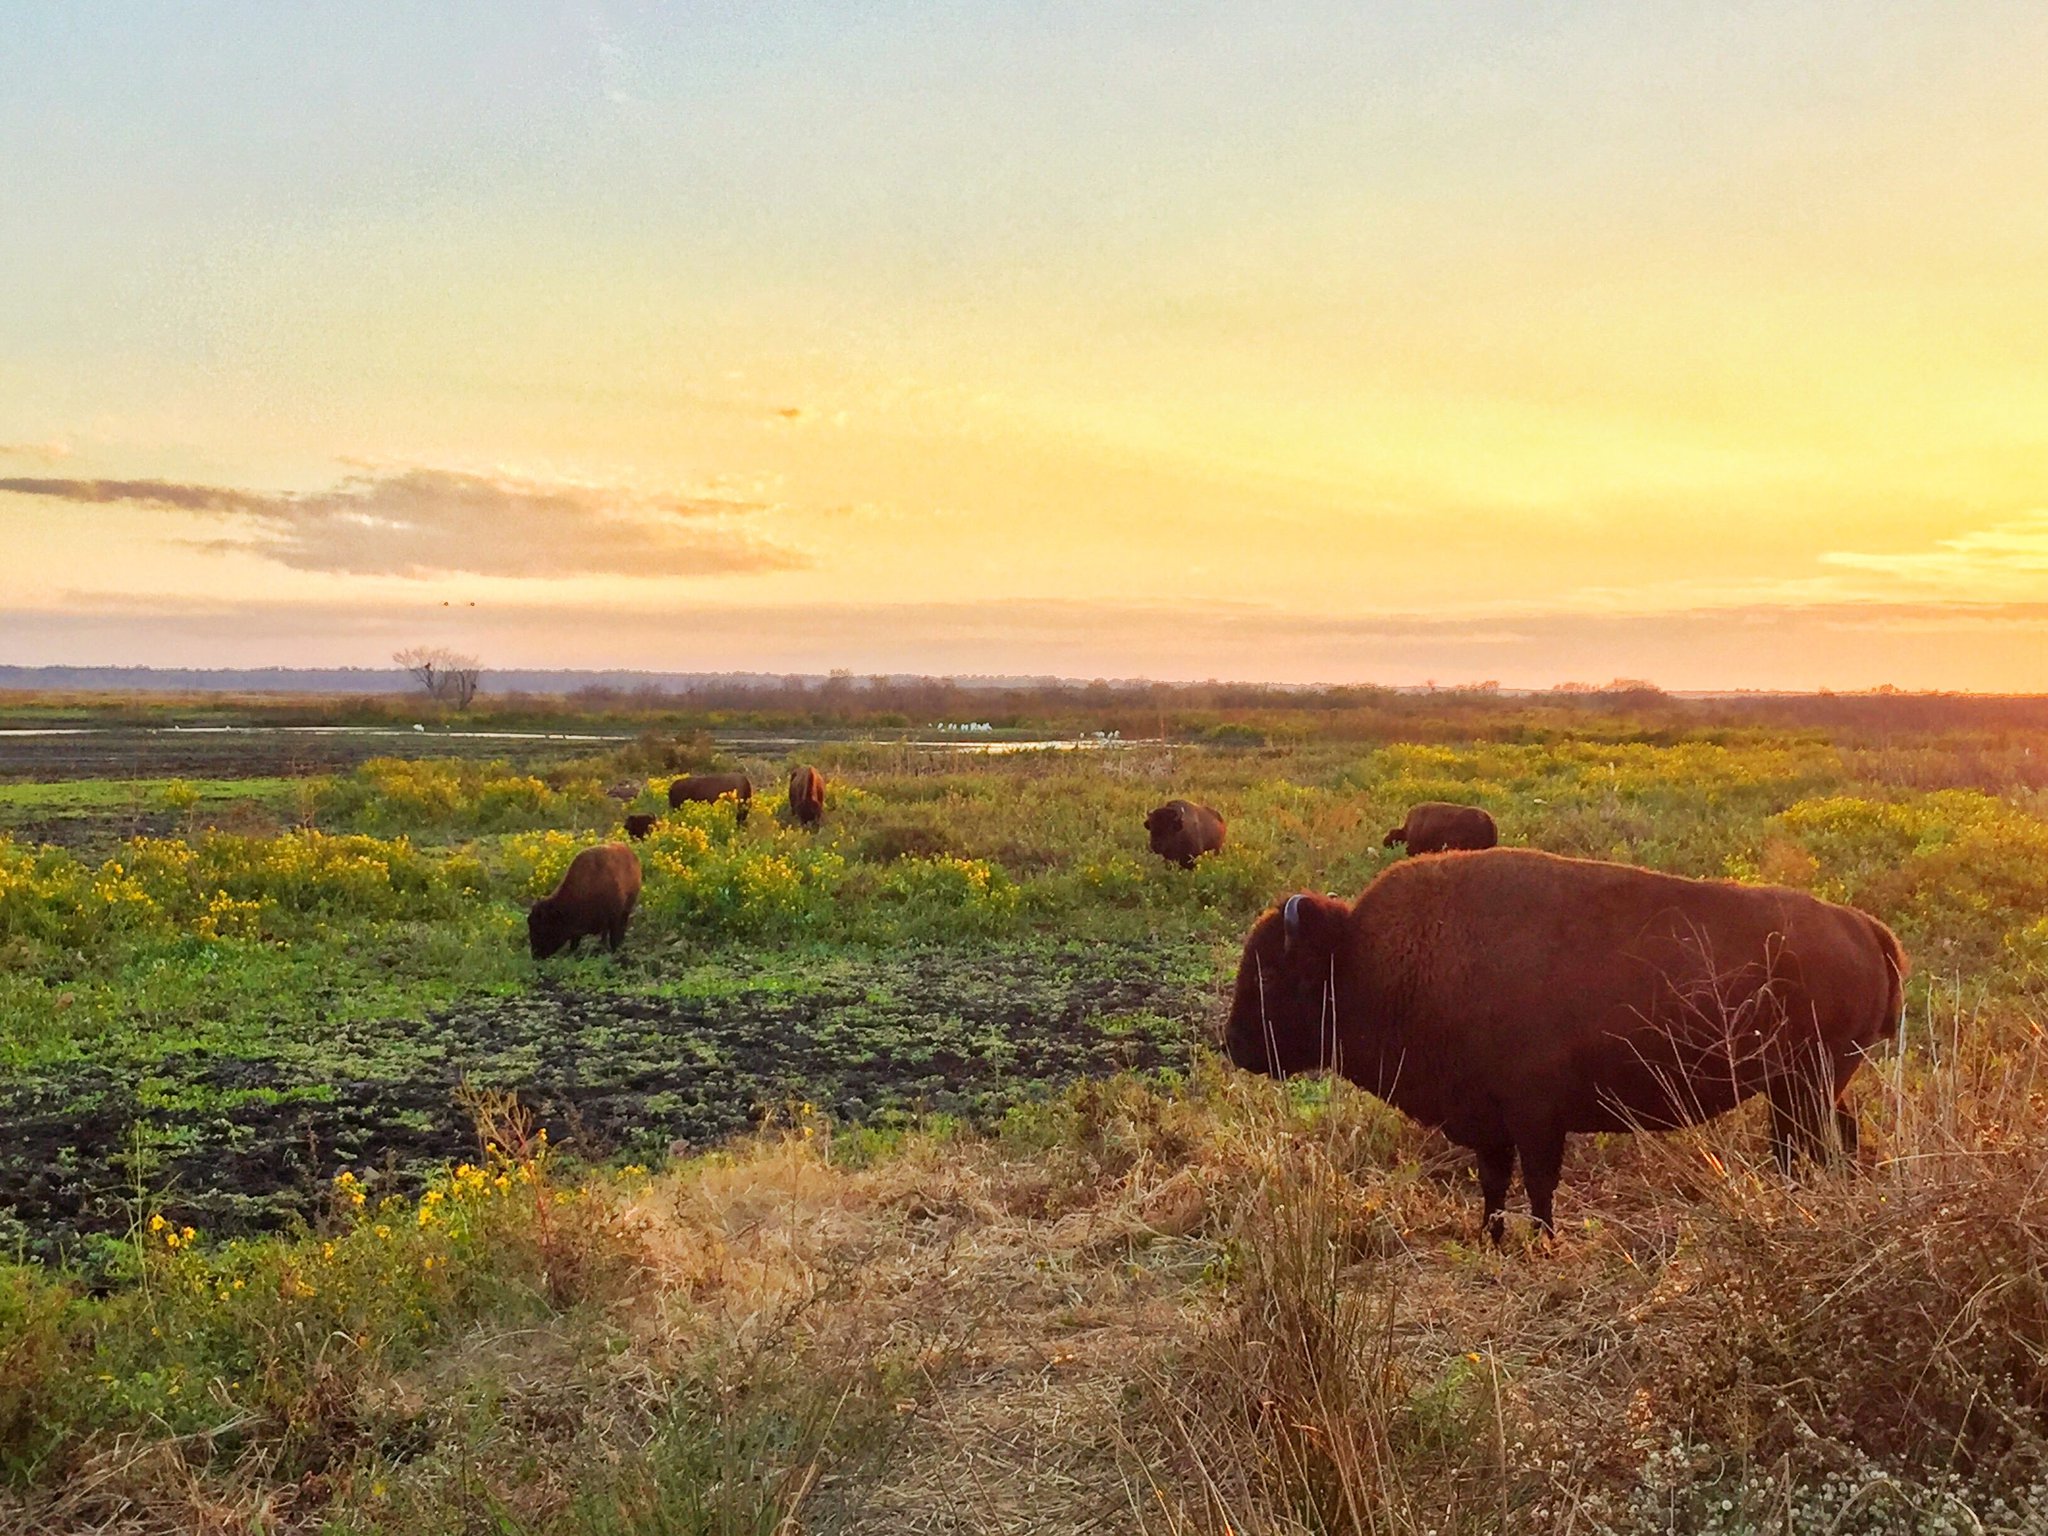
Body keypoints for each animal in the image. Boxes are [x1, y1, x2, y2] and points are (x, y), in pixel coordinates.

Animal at [1212, 847, 1900, 1245]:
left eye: (1271, 973)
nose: (1236, 1043)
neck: (1360, 960)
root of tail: (1864, 927)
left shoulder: (1537, 1118)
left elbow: (1539, 1184)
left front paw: (1544, 1241)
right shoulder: (1490, 1121)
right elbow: (1494, 1183)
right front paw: (1491, 1238)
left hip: (1804, 1085)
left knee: (1804, 1146)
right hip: (1811, 1086)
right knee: (1829, 1140)